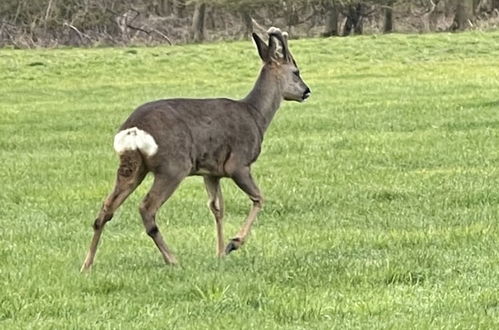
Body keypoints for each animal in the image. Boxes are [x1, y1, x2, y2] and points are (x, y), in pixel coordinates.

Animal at [80, 27, 310, 270]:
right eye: (296, 71)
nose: (306, 91)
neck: (256, 115)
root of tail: (132, 130)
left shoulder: (211, 172)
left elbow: (217, 208)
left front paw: (219, 253)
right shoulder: (238, 163)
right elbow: (259, 198)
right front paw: (233, 244)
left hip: (132, 166)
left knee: (106, 209)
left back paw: (87, 264)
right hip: (173, 166)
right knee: (146, 208)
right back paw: (172, 259)